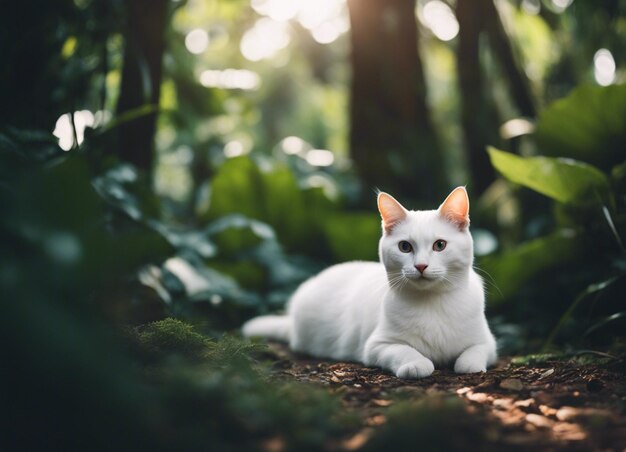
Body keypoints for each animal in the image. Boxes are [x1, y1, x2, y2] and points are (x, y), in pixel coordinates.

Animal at [241, 187, 494, 378]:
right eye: (405, 247)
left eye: (440, 245)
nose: (421, 266)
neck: (432, 303)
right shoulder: (377, 345)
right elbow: (406, 352)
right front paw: (416, 364)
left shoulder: (488, 343)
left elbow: (471, 357)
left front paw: (469, 365)